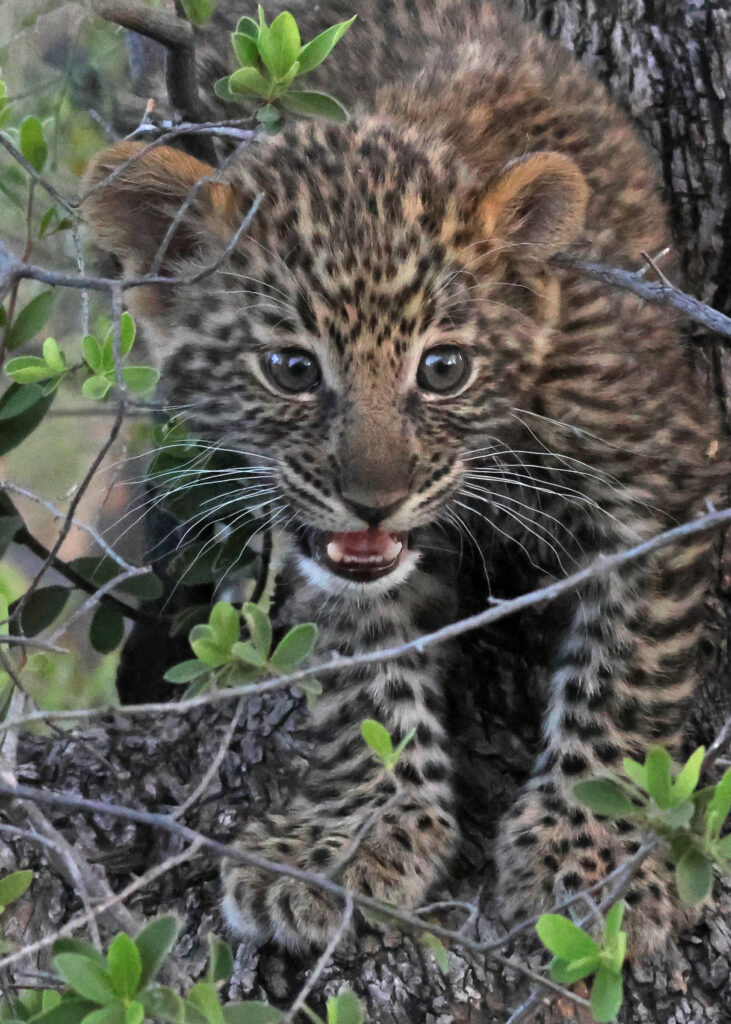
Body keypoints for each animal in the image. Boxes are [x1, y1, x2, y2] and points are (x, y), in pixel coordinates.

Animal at [83, 0, 724, 960]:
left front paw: (594, 850)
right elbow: (365, 683)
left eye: (443, 369)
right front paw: (353, 833)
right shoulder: (332, 548)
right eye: (290, 369)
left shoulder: (663, 472)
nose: (373, 499)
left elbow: (626, 673)